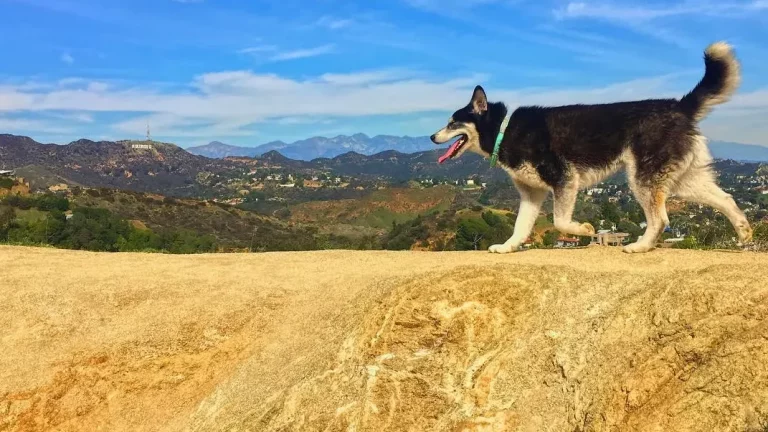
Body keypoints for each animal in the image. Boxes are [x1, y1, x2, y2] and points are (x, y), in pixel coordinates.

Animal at [428, 40, 752, 253]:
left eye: (452, 123)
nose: (431, 137)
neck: (504, 130)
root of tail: (679, 106)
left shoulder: (564, 180)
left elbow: (560, 221)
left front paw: (584, 229)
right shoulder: (531, 194)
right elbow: (521, 226)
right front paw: (508, 247)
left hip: (644, 178)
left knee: (660, 219)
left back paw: (640, 246)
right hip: (682, 179)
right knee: (727, 199)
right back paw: (744, 234)